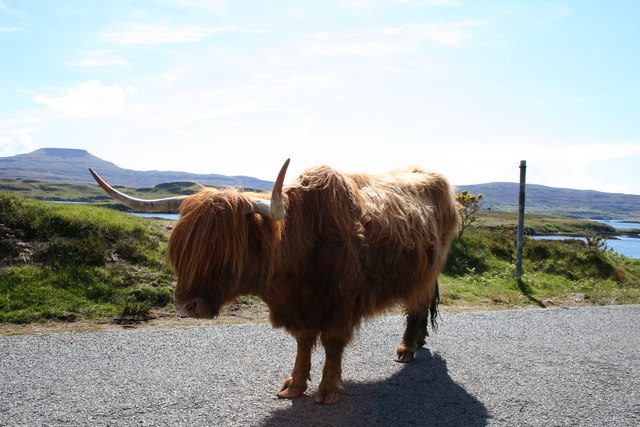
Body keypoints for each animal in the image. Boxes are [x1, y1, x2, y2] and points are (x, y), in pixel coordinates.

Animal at [89, 160, 460, 404]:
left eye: (225, 249)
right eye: (182, 248)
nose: (187, 305)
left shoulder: (340, 304)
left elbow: (332, 345)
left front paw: (328, 391)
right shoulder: (299, 307)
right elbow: (303, 343)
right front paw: (294, 385)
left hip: (427, 271)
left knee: (417, 304)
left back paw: (407, 348)